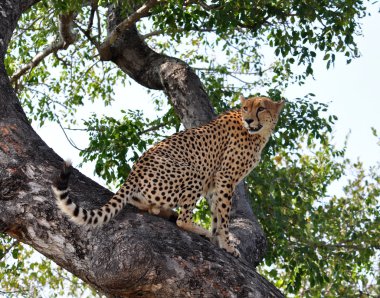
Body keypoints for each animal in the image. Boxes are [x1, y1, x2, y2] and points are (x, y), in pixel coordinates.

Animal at [53, 95, 284, 256]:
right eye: (246, 108)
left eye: (261, 108)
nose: (248, 119)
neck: (258, 134)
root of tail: (133, 173)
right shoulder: (225, 177)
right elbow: (223, 215)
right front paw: (226, 243)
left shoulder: (217, 182)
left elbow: (217, 213)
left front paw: (219, 239)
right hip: (194, 171)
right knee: (182, 219)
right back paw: (197, 228)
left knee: (148, 206)